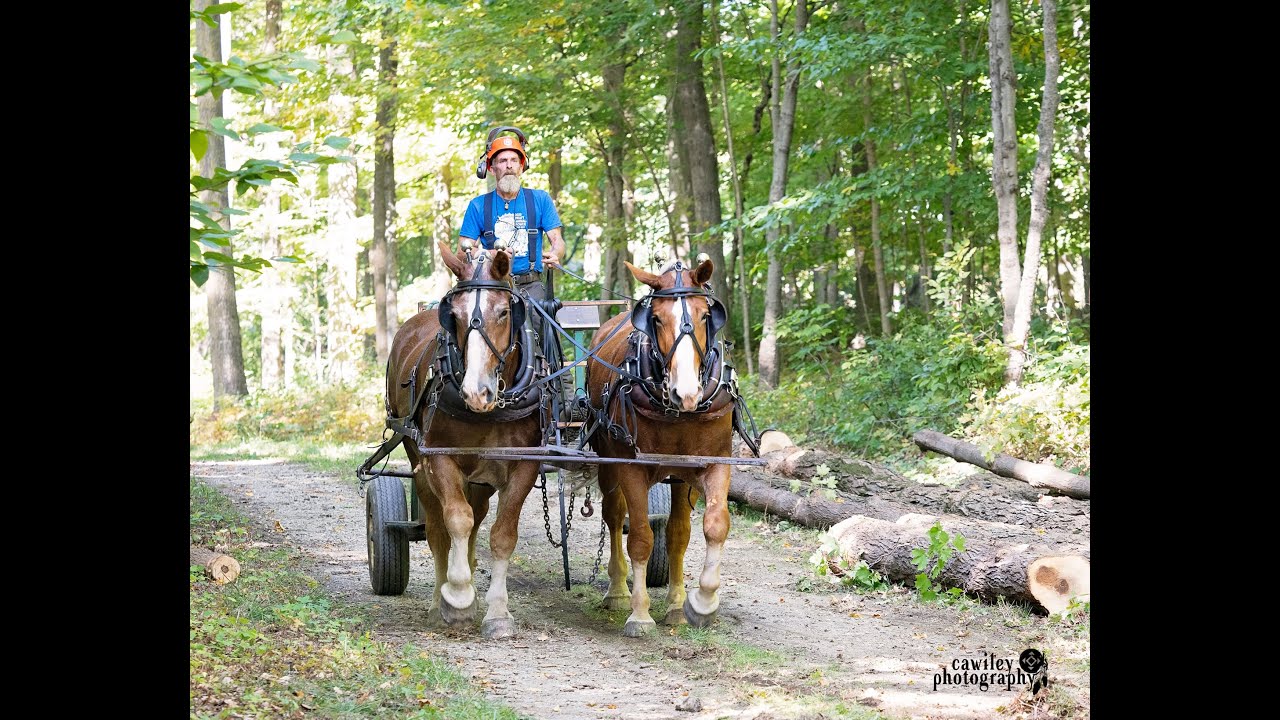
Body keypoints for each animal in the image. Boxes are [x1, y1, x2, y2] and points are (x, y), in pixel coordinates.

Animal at [385, 240, 544, 639]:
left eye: (504, 312)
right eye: (453, 315)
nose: (476, 391)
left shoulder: (525, 464)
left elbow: (502, 534)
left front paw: (498, 612)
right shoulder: (440, 458)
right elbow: (456, 520)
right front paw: (457, 596)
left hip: (481, 479)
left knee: (477, 516)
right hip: (418, 458)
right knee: (437, 525)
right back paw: (439, 601)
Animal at [585, 257, 737, 637]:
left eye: (704, 315)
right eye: (655, 318)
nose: (687, 393)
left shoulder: (712, 462)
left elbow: (707, 527)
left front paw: (697, 604)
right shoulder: (631, 467)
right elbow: (640, 537)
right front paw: (639, 614)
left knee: (675, 532)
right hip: (609, 458)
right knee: (614, 516)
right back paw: (617, 591)